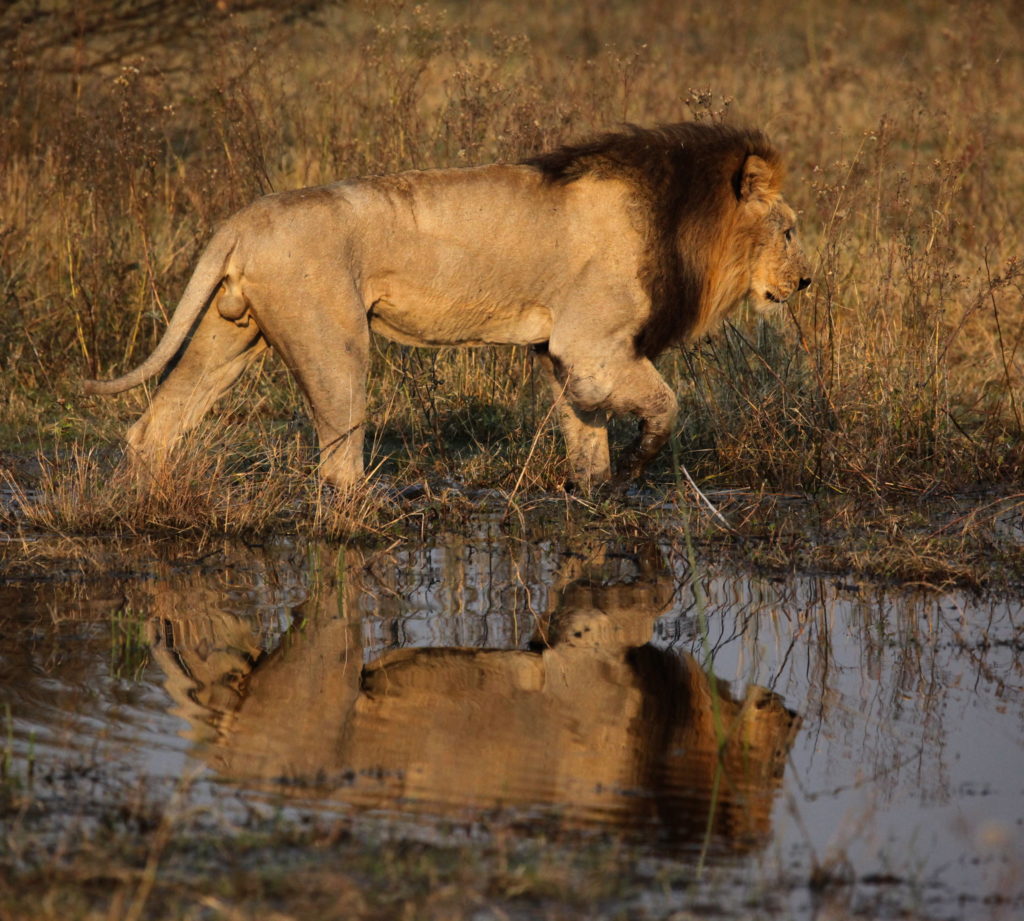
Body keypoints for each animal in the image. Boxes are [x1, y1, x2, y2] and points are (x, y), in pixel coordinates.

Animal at [83, 126, 811, 493]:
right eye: (789, 231)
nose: (806, 281)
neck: (686, 220)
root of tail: (243, 219)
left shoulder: (564, 355)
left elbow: (586, 440)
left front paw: (595, 496)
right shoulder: (592, 344)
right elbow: (666, 403)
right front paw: (640, 462)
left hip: (226, 334)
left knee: (154, 430)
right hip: (335, 346)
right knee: (338, 461)